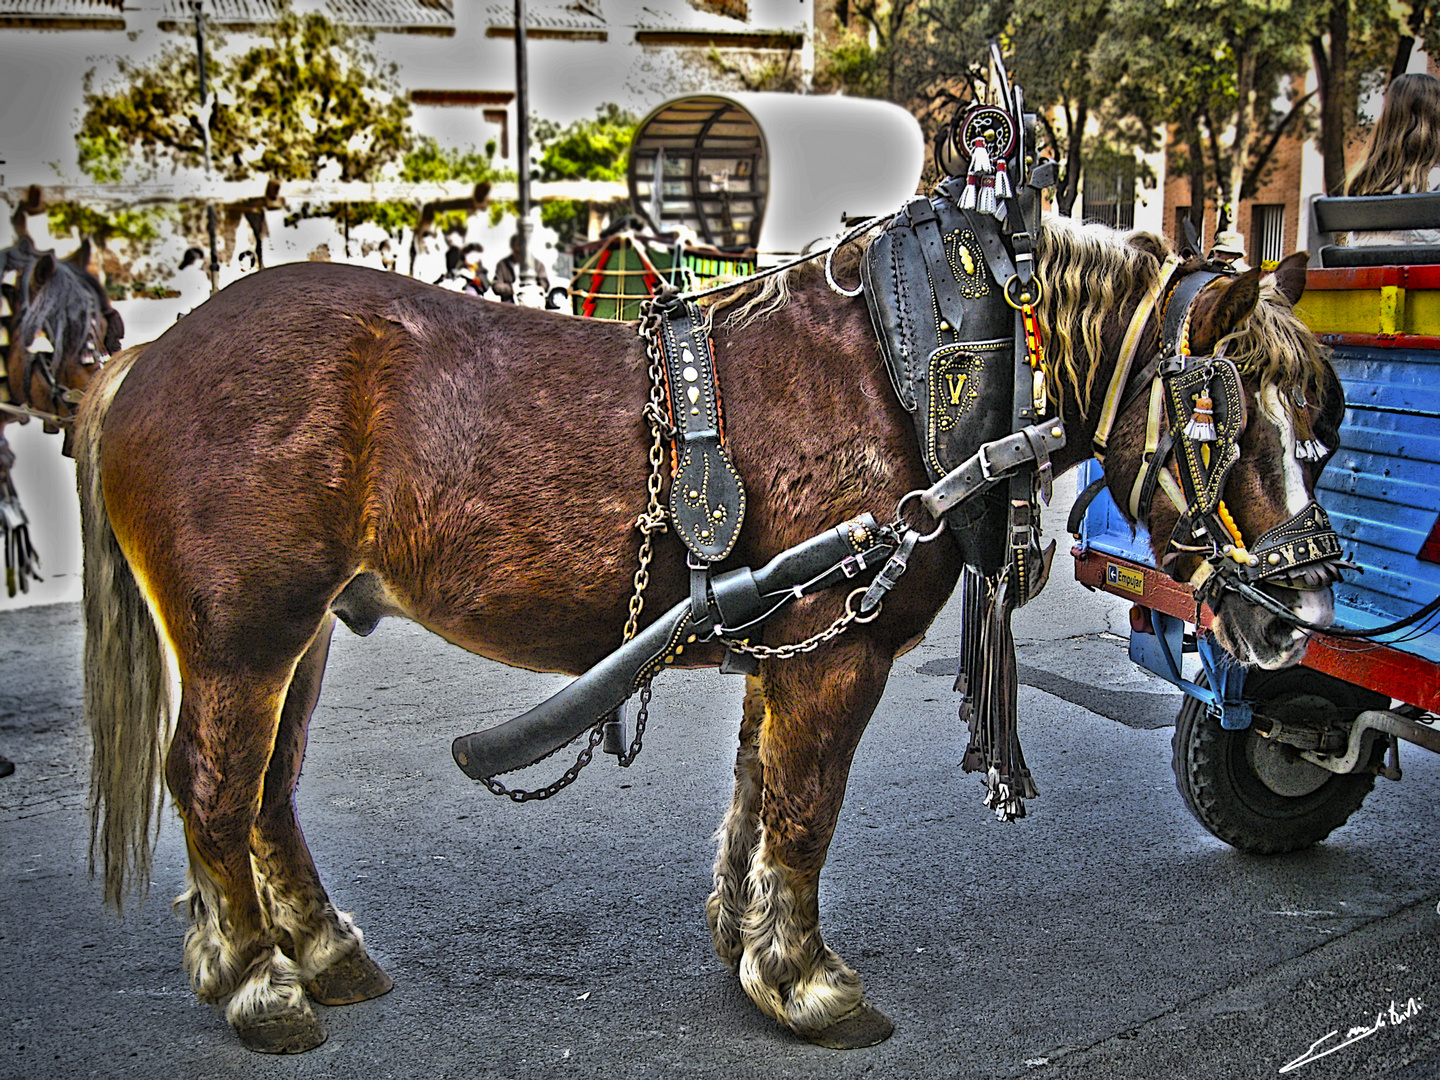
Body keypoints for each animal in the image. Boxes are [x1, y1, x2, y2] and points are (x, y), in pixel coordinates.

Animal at [75, 217, 1336, 1059]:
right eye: (1218, 420)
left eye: (1318, 427)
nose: (1302, 618)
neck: (922, 370)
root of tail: (141, 358)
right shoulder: (835, 647)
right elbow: (806, 808)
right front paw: (804, 980)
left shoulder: (784, 641)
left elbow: (757, 792)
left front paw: (747, 942)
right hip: (247, 635)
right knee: (214, 787)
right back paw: (253, 980)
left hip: (296, 636)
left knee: (268, 789)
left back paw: (319, 951)